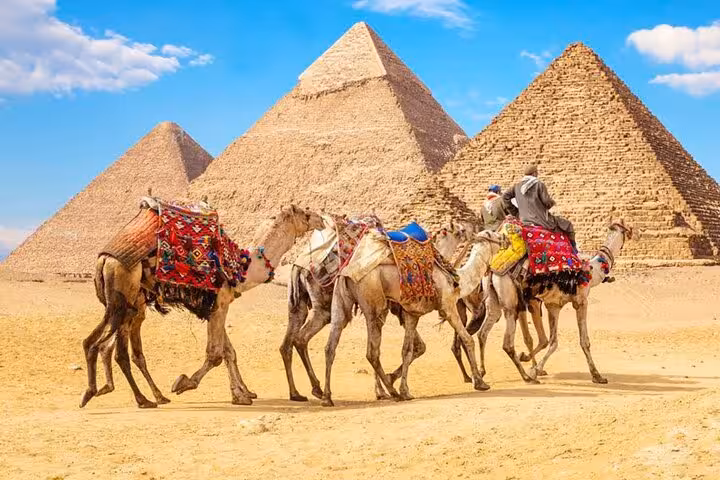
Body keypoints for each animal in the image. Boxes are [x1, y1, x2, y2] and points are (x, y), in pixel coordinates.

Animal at [80, 203, 323, 408]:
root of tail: (105, 259)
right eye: (305, 213)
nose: (321, 219)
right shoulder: (220, 302)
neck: (241, 267)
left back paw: (124, 393)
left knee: (102, 345)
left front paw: (241, 394)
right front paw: (184, 383)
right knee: (110, 348)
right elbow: (216, 354)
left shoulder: (215, 307)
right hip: (125, 294)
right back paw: (137, 398)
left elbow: (229, 351)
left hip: (125, 302)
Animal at [281, 220, 473, 402]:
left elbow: (414, 348)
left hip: (309, 305)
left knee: (299, 342)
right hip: (337, 307)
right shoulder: (406, 310)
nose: (471, 231)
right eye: (461, 230)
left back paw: (310, 393)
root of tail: (299, 266)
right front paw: (388, 387)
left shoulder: (400, 311)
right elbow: (415, 348)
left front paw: (384, 388)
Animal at [320, 229, 502, 407]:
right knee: (372, 351)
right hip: (373, 303)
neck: (459, 279)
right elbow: (467, 339)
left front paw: (404, 389)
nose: (504, 238)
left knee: (331, 345)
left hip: (340, 301)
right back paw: (391, 392)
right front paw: (480, 382)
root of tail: (347, 271)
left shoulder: (411, 313)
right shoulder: (448, 307)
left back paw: (327, 397)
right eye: (493, 235)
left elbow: (408, 350)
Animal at [477, 220, 633, 386]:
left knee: (483, 332)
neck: (593, 271)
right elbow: (583, 341)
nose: (635, 233)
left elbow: (552, 341)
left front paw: (532, 365)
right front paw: (597, 375)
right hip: (510, 299)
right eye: (628, 229)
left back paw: (482, 372)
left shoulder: (553, 305)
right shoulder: (581, 301)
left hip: (494, 298)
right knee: (507, 342)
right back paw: (526, 377)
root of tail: (492, 268)